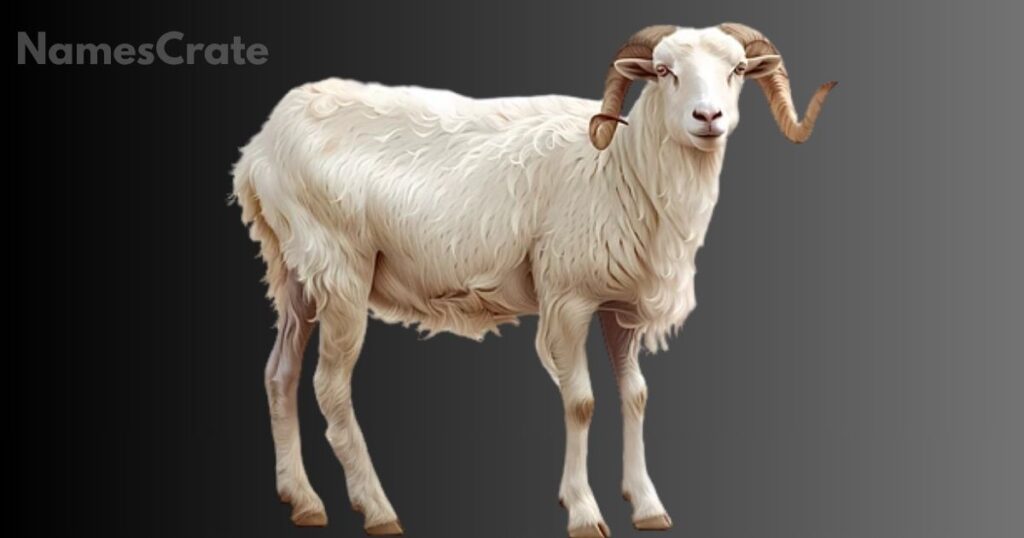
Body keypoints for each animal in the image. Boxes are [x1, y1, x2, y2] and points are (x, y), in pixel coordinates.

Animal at [232, 22, 834, 537]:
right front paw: (584, 511)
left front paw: (647, 506)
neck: (622, 167)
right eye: (664, 71)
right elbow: (582, 402)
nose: (708, 118)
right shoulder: (567, 299)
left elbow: (636, 395)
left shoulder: (620, 308)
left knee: (279, 373)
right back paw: (377, 509)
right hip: (340, 269)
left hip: (294, 273)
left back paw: (302, 500)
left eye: (737, 69)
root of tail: (261, 146)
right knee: (330, 387)